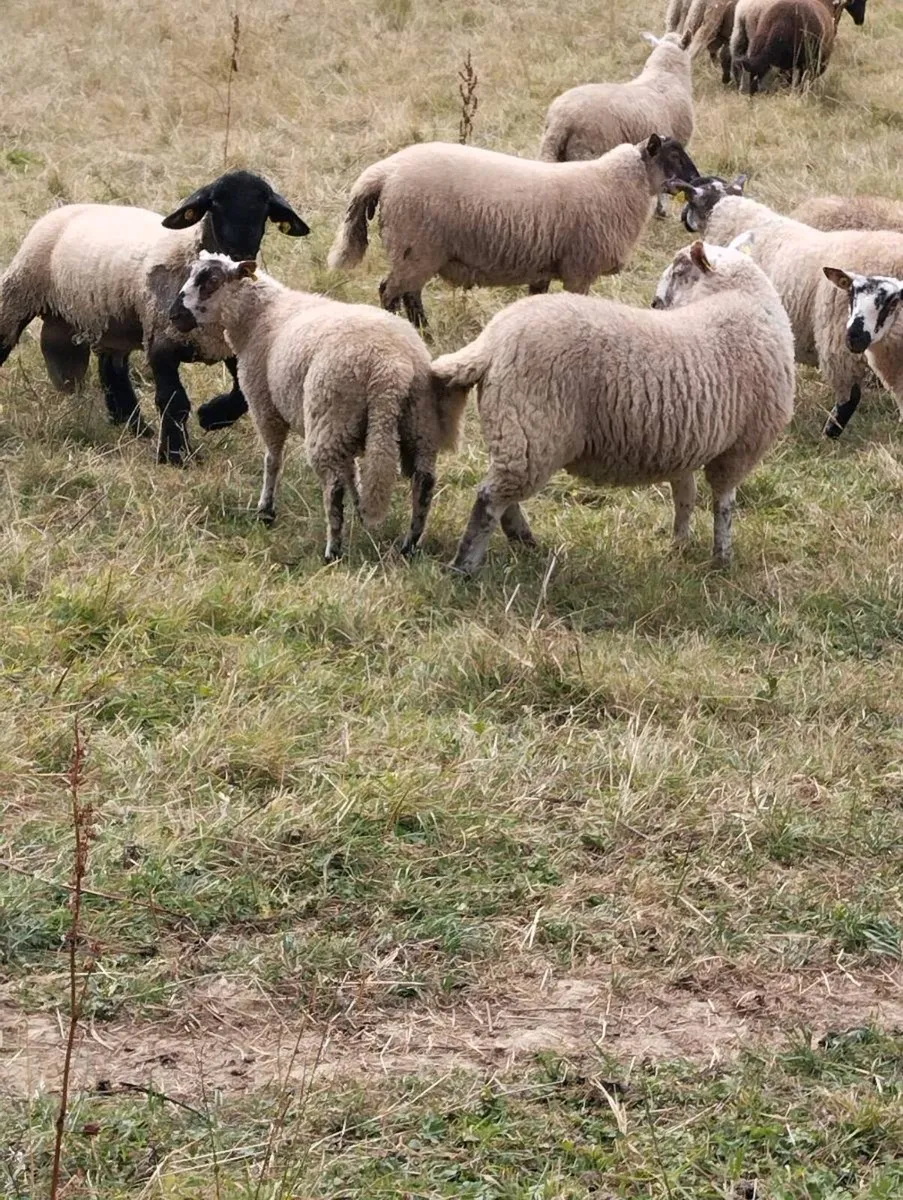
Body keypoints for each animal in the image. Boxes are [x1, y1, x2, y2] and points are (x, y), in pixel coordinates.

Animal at [0, 171, 309, 464]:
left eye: (265, 209)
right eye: (215, 204)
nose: (239, 255)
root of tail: (67, 207)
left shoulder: (231, 349)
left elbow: (240, 397)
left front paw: (210, 417)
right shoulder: (161, 342)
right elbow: (174, 401)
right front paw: (176, 455)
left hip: (111, 322)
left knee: (113, 371)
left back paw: (134, 427)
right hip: (20, 290)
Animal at [169, 252, 465, 561]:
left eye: (211, 281)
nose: (174, 316)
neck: (259, 314)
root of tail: (391, 368)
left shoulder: (265, 406)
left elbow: (273, 460)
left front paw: (266, 510)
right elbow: (353, 471)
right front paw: (360, 509)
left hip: (330, 414)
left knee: (333, 487)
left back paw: (332, 550)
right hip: (418, 420)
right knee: (424, 481)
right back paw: (410, 544)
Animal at [327, 134, 699, 327]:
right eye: (673, 155)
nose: (698, 180)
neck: (615, 185)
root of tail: (385, 172)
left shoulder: (544, 269)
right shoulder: (579, 271)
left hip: (418, 251)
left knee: (409, 294)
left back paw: (425, 333)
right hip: (416, 246)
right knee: (390, 292)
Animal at [430, 238, 795, 575]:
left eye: (679, 272)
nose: (654, 303)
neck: (736, 298)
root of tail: (491, 342)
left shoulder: (690, 445)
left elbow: (685, 496)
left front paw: (680, 544)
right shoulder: (738, 450)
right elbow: (724, 507)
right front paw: (722, 558)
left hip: (517, 434)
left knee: (505, 497)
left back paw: (525, 542)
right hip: (535, 432)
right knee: (490, 498)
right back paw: (465, 567)